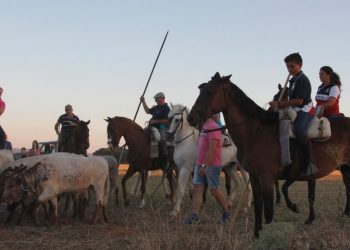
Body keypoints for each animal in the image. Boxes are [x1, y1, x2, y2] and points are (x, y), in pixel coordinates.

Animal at [189, 73, 350, 238]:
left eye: (210, 92)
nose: (191, 118)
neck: (256, 132)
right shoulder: (255, 177)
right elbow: (258, 208)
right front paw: (256, 235)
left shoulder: (267, 177)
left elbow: (268, 211)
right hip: (345, 168)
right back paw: (345, 214)